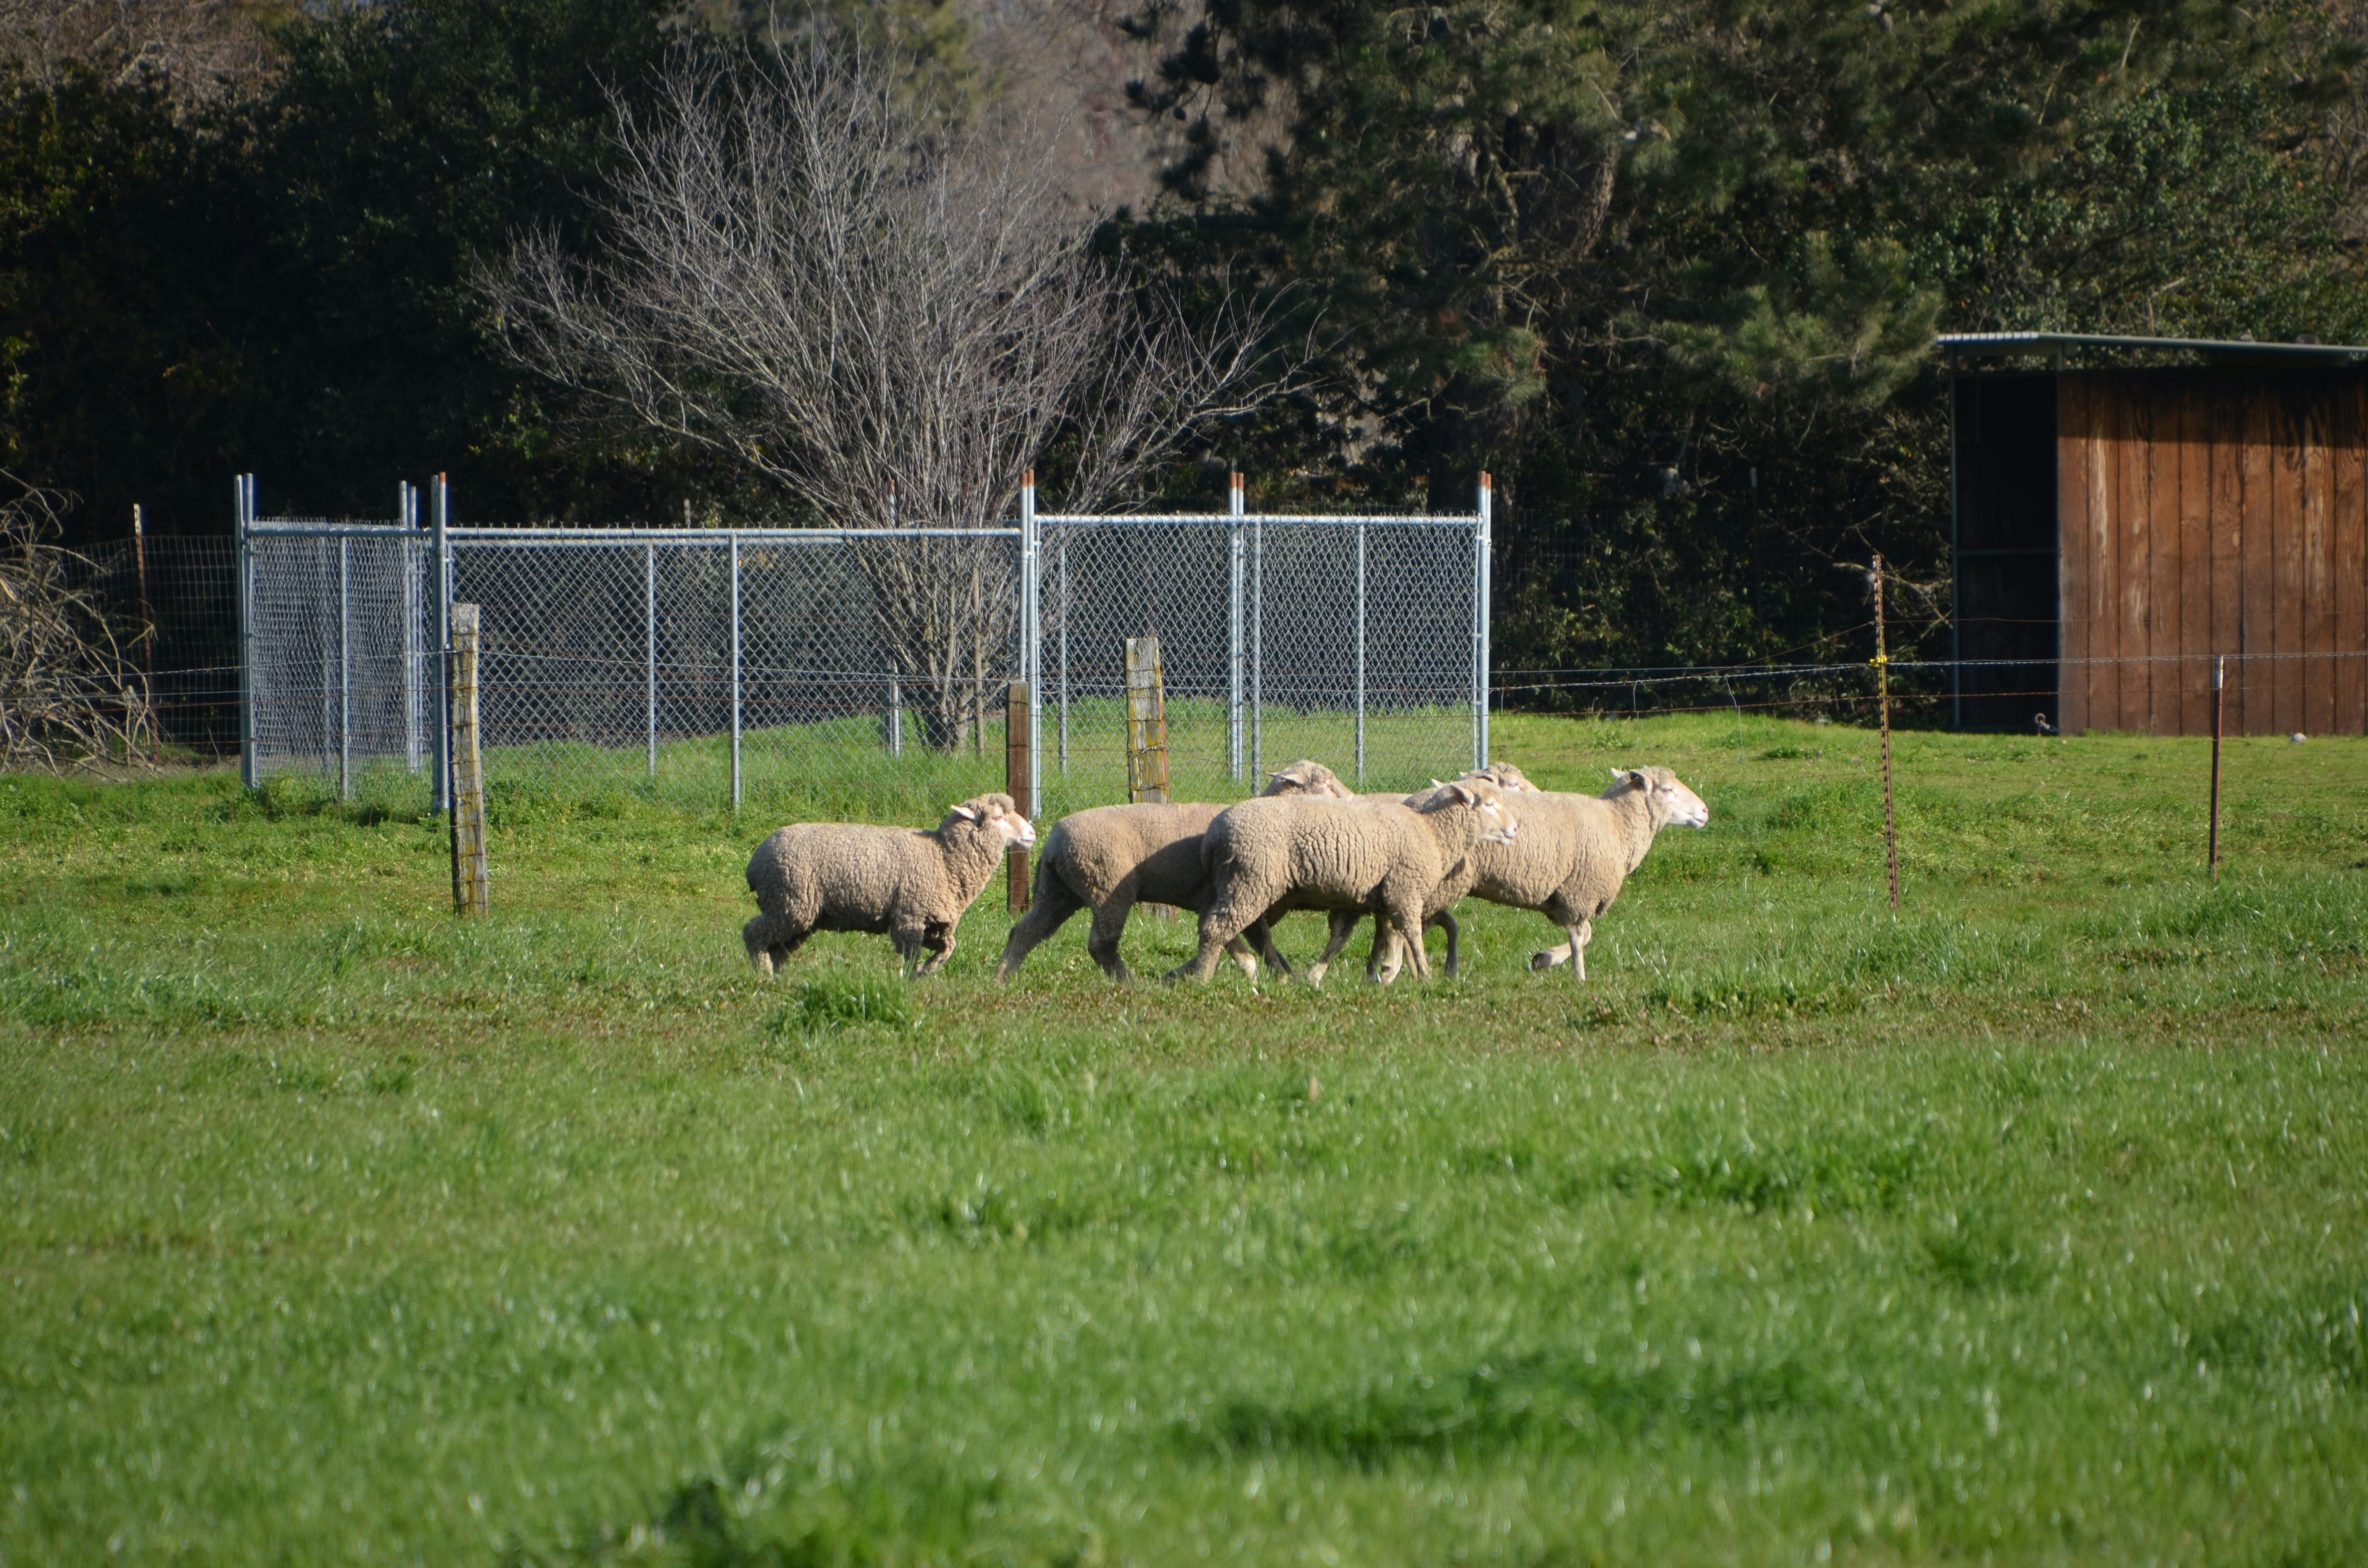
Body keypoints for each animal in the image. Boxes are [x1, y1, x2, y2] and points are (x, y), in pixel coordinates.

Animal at [743, 792, 1036, 978]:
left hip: (803, 914)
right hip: (789, 902)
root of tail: (755, 863)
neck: (943, 857)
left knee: (779, 949)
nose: (1032, 833)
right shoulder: (910, 918)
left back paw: (778, 980)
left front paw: (927, 972)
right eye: (998, 818)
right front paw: (912, 980)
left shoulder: (935, 923)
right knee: (753, 933)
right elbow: (912, 956)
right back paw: (764, 976)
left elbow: (948, 949)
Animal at [994, 759, 1355, 983]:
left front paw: (1280, 975)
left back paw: (1002, 978)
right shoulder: (1231, 892)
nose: (1353, 798)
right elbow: (1244, 937)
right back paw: (1130, 984)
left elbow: (1256, 939)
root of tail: (1053, 843)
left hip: (1057, 892)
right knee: (1101, 944)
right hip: (1108, 887)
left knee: (1025, 932)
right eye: (1325, 783)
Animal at [1167, 777, 1519, 984]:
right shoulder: (1404, 890)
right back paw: (1204, 978)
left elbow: (1342, 940)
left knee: (1232, 927)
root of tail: (1213, 836)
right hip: (1252, 878)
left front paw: (1318, 976)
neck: (1433, 832)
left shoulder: (1364, 897)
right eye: (1489, 805)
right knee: (1218, 928)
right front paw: (1425, 976)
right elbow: (1412, 934)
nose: (1515, 829)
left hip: (1243, 882)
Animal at [1350, 765, 1708, 984]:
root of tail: (1413, 802)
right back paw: (1391, 970)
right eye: (1667, 790)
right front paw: (1578, 976)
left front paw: (1544, 960)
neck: (1617, 823)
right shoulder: (1578, 891)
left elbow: (1586, 936)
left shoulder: (1567, 896)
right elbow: (1581, 937)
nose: (1705, 811)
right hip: (1426, 880)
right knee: (1400, 923)